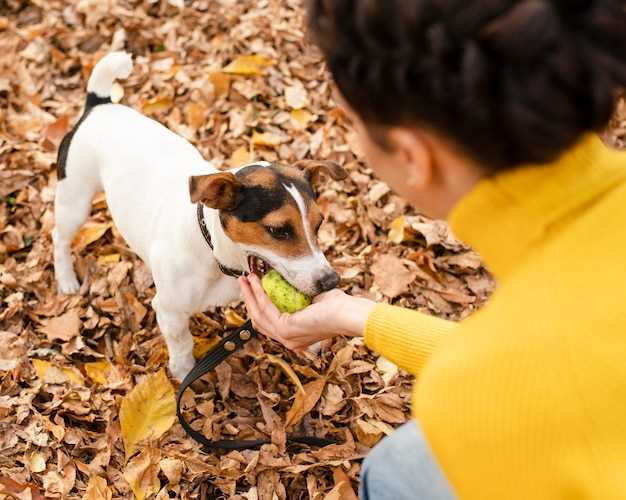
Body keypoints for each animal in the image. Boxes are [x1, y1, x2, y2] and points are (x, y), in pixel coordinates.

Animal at [52, 51, 346, 378]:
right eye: (278, 230)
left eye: (319, 224)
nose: (330, 281)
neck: (214, 251)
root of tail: (99, 106)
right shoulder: (169, 310)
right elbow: (182, 346)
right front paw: (183, 376)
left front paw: (312, 340)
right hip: (75, 200)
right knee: (59, 237)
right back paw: (66, 278)